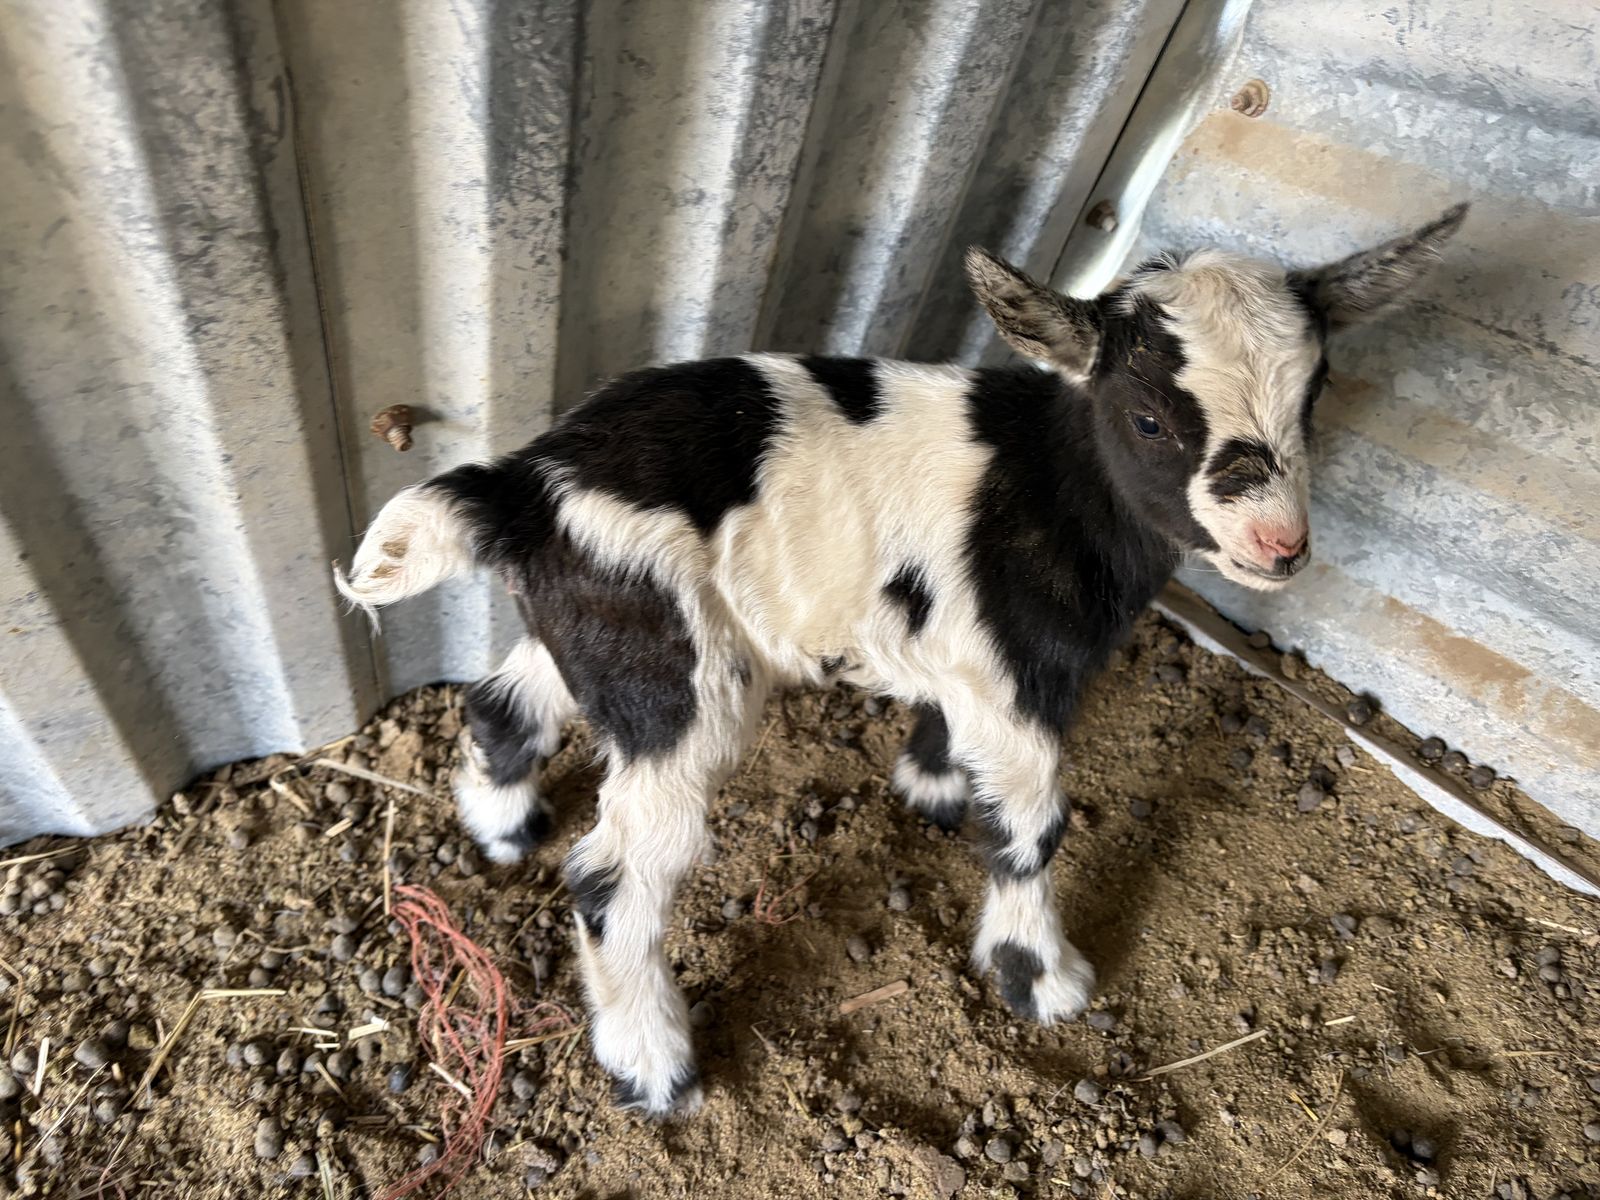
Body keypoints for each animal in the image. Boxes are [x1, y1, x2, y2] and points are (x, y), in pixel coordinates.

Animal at [335, 205, 1466, 1116]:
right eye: (1149, 418)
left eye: (1310, 402)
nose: (1280, 548)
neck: (1052, 483)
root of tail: (522, 483)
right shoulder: (1016, 680)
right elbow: (1032, 829)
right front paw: (1039, 977)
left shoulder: (965, 653)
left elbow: (949, 733)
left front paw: (930, 785)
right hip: (684, 681)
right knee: (616, 871)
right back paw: (652, 1065)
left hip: (607, 623)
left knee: (505, 700)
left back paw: (502, 827)